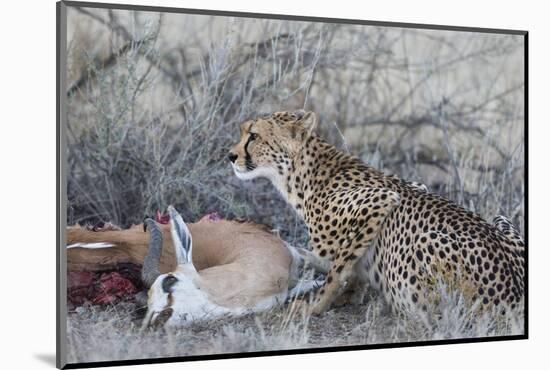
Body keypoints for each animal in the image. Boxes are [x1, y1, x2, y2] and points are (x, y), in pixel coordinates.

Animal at [227, 110, 528, 316]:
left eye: (253, 136)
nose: (230, 156)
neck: (301, 174)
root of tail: (515, 292)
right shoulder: (414, 185)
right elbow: (350, 264)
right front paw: (351, 293)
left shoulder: (381, 200)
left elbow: (337, 270)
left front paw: (315, 306)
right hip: (501, 220)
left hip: (426, 241)